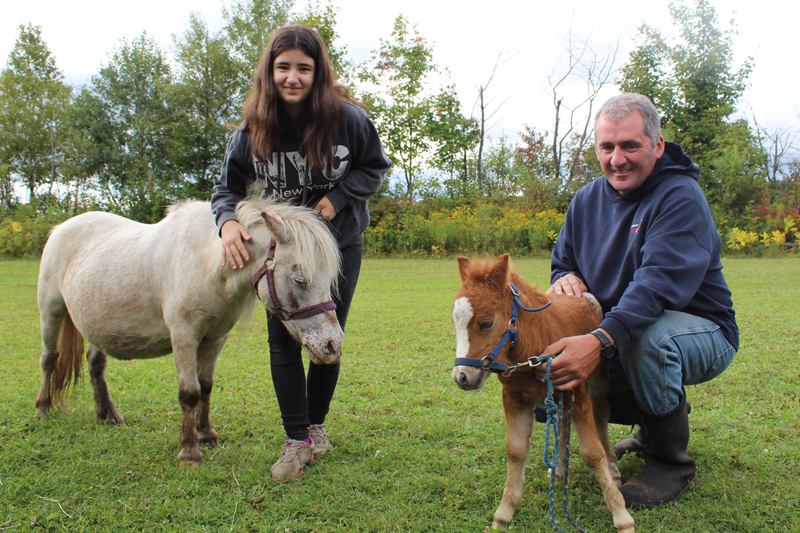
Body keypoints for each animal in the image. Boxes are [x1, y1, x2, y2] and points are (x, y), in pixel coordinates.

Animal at [35, 198, 340, 466]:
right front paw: (189, 451)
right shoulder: (183, 337)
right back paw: (43, 409)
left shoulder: (214, 340)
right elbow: (190, 393)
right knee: (49, 359)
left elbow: (205, 386)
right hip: (51, 311)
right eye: (299, 279)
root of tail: (61, 227)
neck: (206, 263)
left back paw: (107, 414)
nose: (332, 345)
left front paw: (206, 434)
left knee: (96, 364)